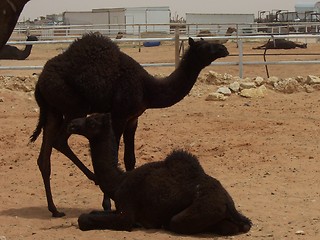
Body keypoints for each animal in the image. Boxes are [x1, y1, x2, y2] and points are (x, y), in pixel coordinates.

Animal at [30, 32, 229, 218]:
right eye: (205, 46)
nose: (224, 49)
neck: (147, 88)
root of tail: (39, 83)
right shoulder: (119, 116)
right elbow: (113, 156)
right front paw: (107, 204)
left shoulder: (133, 119)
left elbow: (130, 159)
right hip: (75, 107)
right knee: (59, 141)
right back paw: (93, 179)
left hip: (53, 111)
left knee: (44, 156)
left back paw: (54, 209)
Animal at [67, 113, 252, 235]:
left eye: (91, 122)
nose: (72, 123)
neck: (118, 182)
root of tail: (227, 202)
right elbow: (92, 213)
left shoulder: (126, 212)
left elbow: (84, 218)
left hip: (201, 209)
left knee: (176, 222)